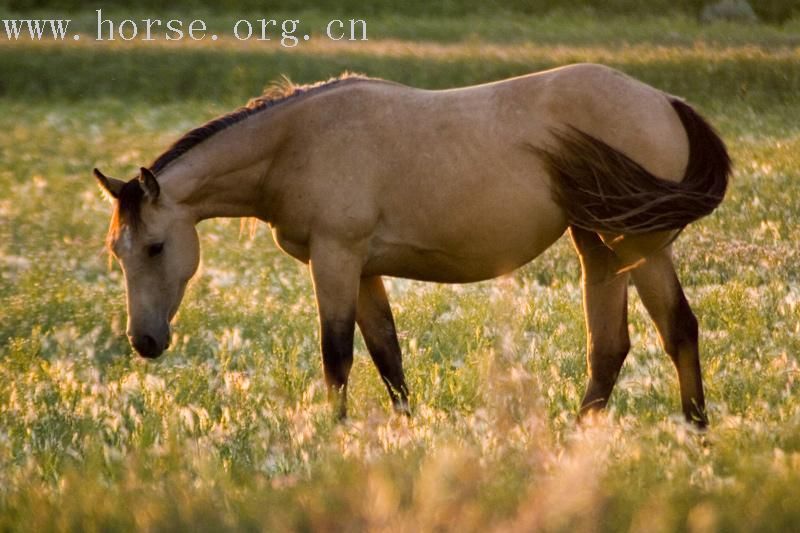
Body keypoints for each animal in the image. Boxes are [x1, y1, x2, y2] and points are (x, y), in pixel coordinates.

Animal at [94, 64, 732, 426]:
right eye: (118, 253)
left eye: (155, 247)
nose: (145, 342)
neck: (295, 143)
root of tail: (664, 100)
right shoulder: (363, 270)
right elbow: (387, 355)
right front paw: (405, 433)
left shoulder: (335, 259)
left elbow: (337, 355)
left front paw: (336, 438)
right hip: (598, 244)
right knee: (613, 345)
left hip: (635, 241)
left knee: (676, 329)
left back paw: (692, 433)